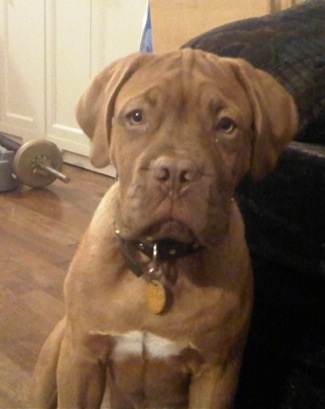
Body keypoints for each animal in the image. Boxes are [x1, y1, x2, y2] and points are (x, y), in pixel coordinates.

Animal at [31, 48, 298, 408]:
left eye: (227, 125)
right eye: (136, 116)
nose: (175, 171)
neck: (160, 256)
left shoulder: (216, 373)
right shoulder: (81, 358)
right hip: (56, 351)